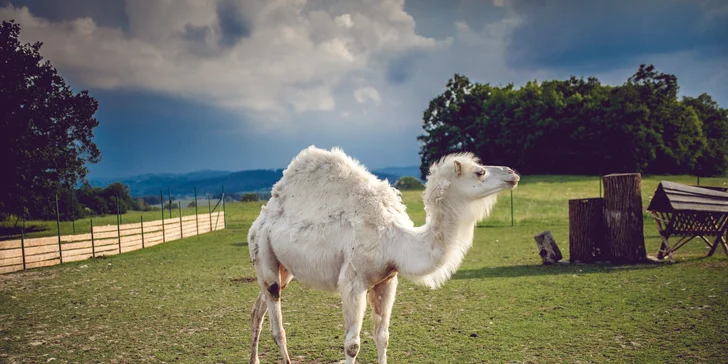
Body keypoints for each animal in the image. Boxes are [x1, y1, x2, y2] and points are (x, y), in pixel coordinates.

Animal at [247, 146, 520, 364]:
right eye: (480, 172)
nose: (512, 172)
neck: (394, 240)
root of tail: (261, 217)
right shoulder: (352, 283)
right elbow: (352, 344)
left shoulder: (387, 281)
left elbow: (383, 337)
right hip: (261, 249)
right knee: (276, 319)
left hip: (284, 268)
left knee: (259, 307)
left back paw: (255, 359)